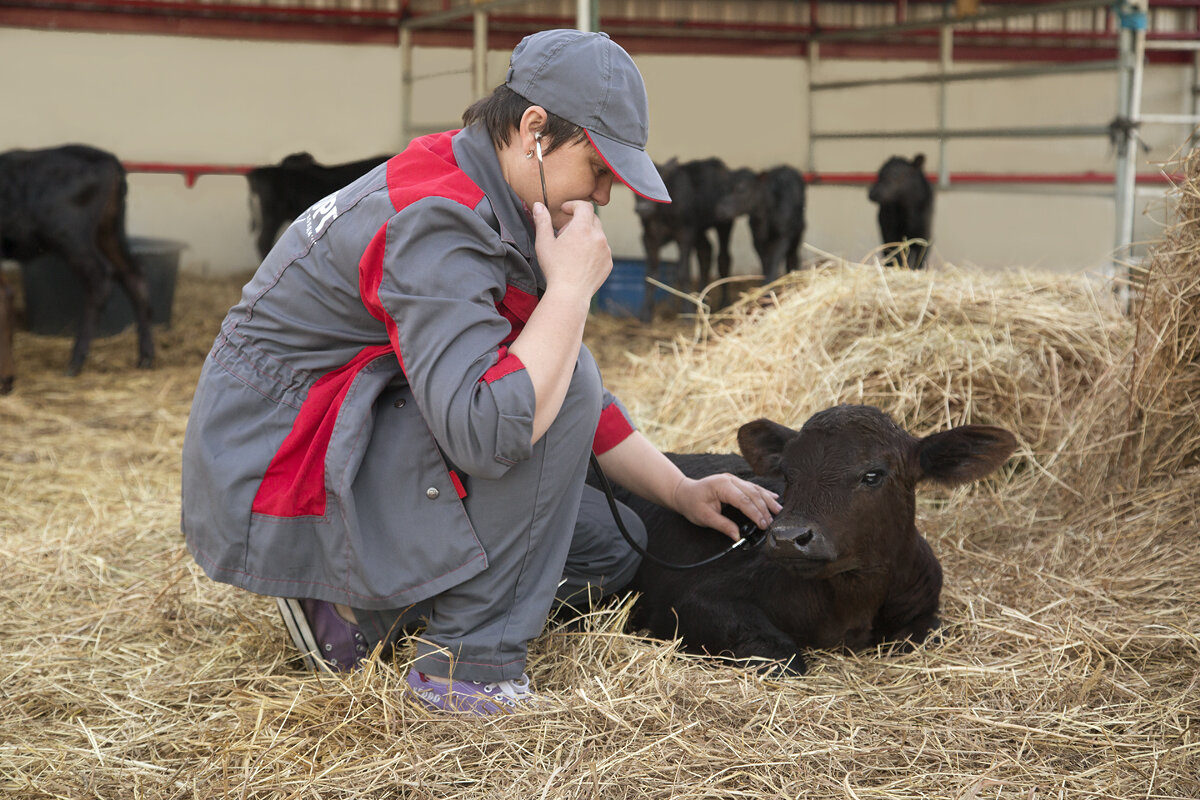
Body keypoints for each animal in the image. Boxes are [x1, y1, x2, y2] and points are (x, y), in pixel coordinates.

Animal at [0, 144, 154, 379]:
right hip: (108, 232)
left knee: (99, 278)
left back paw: (75, 362)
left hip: (70, 236)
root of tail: (107, 158)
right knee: (133, 275)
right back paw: (146, 357)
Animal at [600, 407, 1012, 676]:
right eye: (787, 473)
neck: (851, 604)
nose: (786, 538)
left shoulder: (924, 603)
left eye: (873, 474)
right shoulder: (694, 600)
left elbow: (929, 634)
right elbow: (783, 655)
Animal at [633, 158, 734, 321]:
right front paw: (645, 313)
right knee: (705, 253)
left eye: (660, 180)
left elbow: (683, 272)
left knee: (723, 258)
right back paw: (701, 300)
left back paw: (724, 303)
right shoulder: (648, 238)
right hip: (699, 229)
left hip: (724, 221)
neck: (661, 214)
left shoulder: (684, 234)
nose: (643, 208)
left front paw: (686, 314)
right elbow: (650, 273)